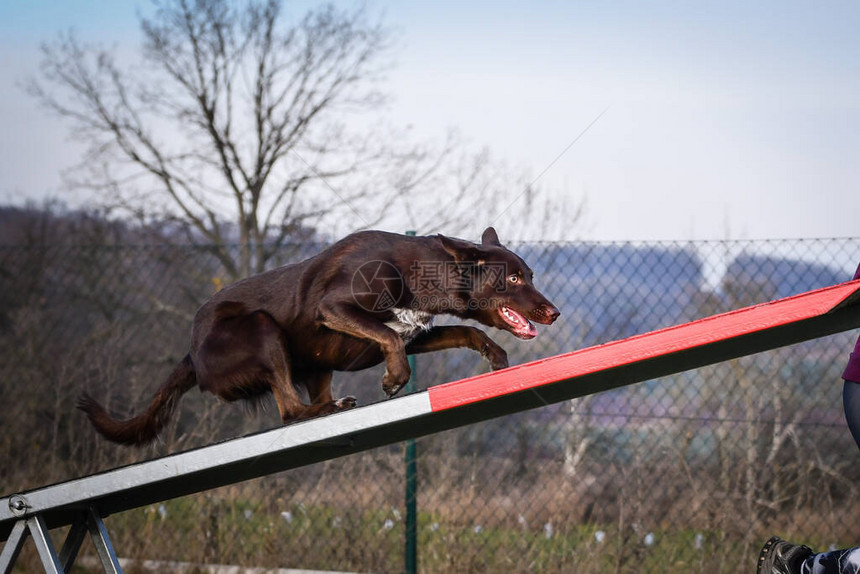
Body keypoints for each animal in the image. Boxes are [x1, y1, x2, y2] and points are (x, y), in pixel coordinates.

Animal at [79, 228, 556, 446]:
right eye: (514, 278)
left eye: (531, 274)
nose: (554, 312)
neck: (420, 273)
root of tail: (191, 354)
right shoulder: (334, 309)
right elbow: (388, 337)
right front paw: (394, 379)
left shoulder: (416, 332)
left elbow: (461, 329)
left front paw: (496, 359)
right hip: (263, 329)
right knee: (290, 410)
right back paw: (323, 410)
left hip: (313, 363)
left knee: (305, 400)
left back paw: (333, 406)